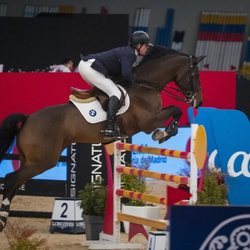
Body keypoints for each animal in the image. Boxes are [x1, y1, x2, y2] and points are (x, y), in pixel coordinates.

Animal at [0, 45, 205, 230]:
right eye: (195, 75)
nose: (199, 101)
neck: (146, 86)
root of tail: (28, 119)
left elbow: (175, 111)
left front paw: (165, 133)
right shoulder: (148, 122)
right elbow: (176, 110)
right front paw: (163, 134)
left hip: (30, 160)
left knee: (15, 183)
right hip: (42, 161)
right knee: (10, 180)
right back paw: (2, 219)